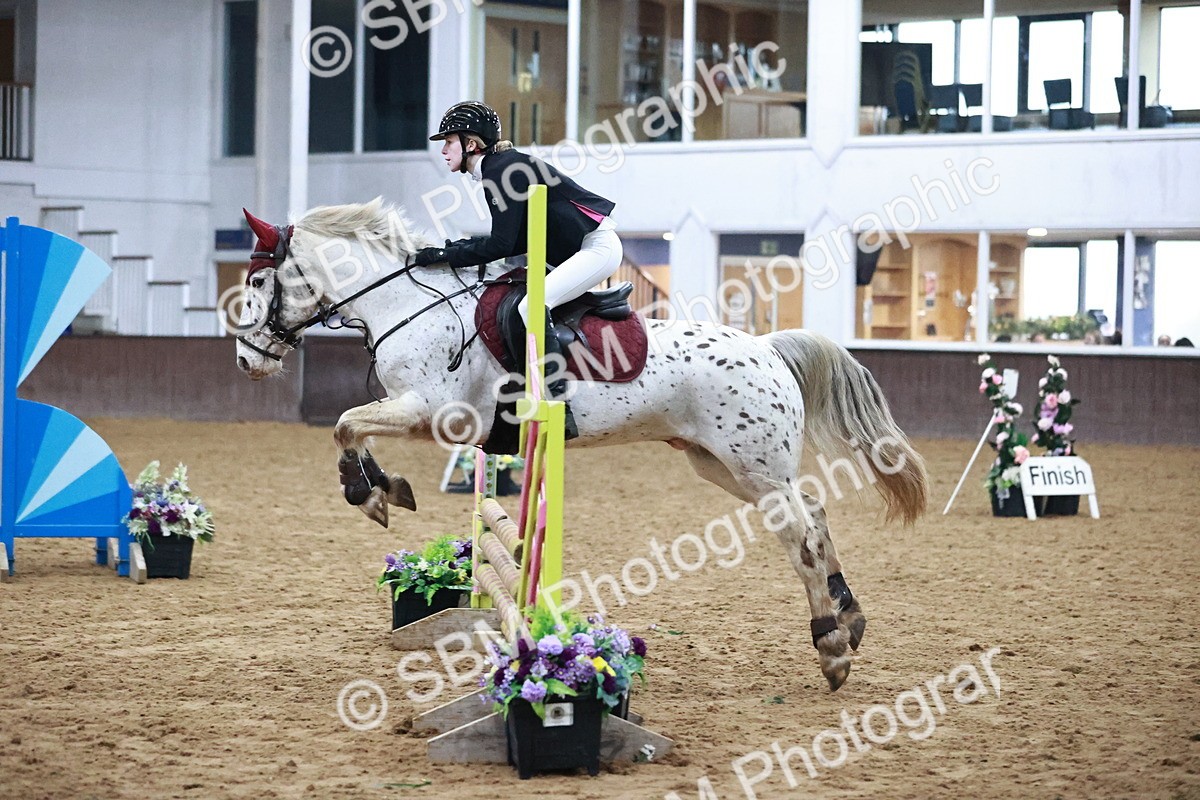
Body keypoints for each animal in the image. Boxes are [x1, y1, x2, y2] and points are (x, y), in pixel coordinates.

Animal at [234, 198, 928, 690]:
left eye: (259, 285)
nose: (246, 362)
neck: (408, 305)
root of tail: (767, 347)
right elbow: (349, 425)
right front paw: (383, 489)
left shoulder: (431, 411)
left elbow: (346, 423)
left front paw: (373, 493)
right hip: (724, 467)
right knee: (814, 515)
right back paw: (850, 619)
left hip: (754, 466)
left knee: (801, 539)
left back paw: (830, 646)